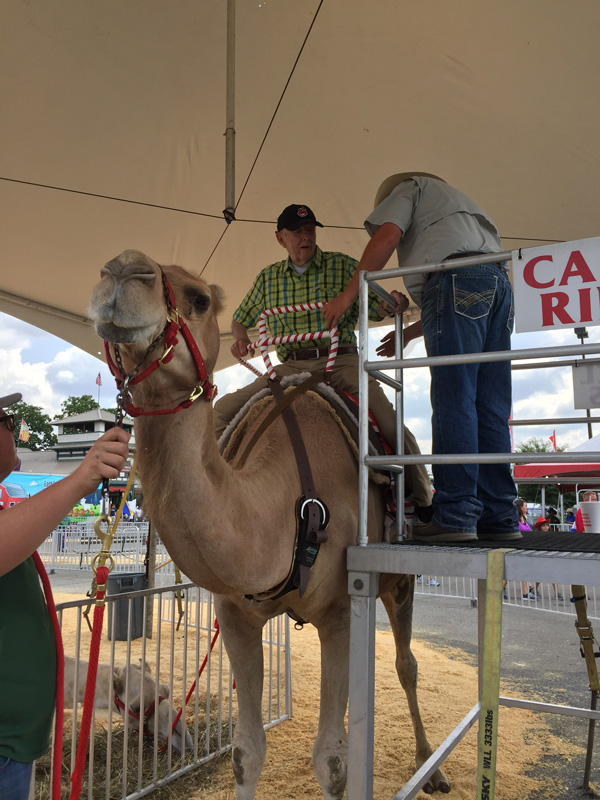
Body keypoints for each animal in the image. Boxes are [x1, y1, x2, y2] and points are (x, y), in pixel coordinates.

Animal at [86, 252, 448, 800]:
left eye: (200, 299)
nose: (123, 271)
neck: (292, 509)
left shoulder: (338, 613)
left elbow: (332, 762)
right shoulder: (235, 614)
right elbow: (245, 752)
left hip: (400, 578)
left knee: (407, 665)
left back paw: (432, 765)